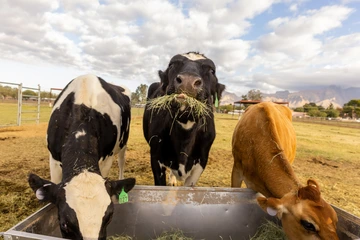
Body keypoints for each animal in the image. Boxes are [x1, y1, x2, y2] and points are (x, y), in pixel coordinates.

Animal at [27, 74, 135, 240]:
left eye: (109, 217)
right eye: (64, 224)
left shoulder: (106, 160)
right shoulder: (53, 159)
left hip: (123, 145)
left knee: (122, 162)